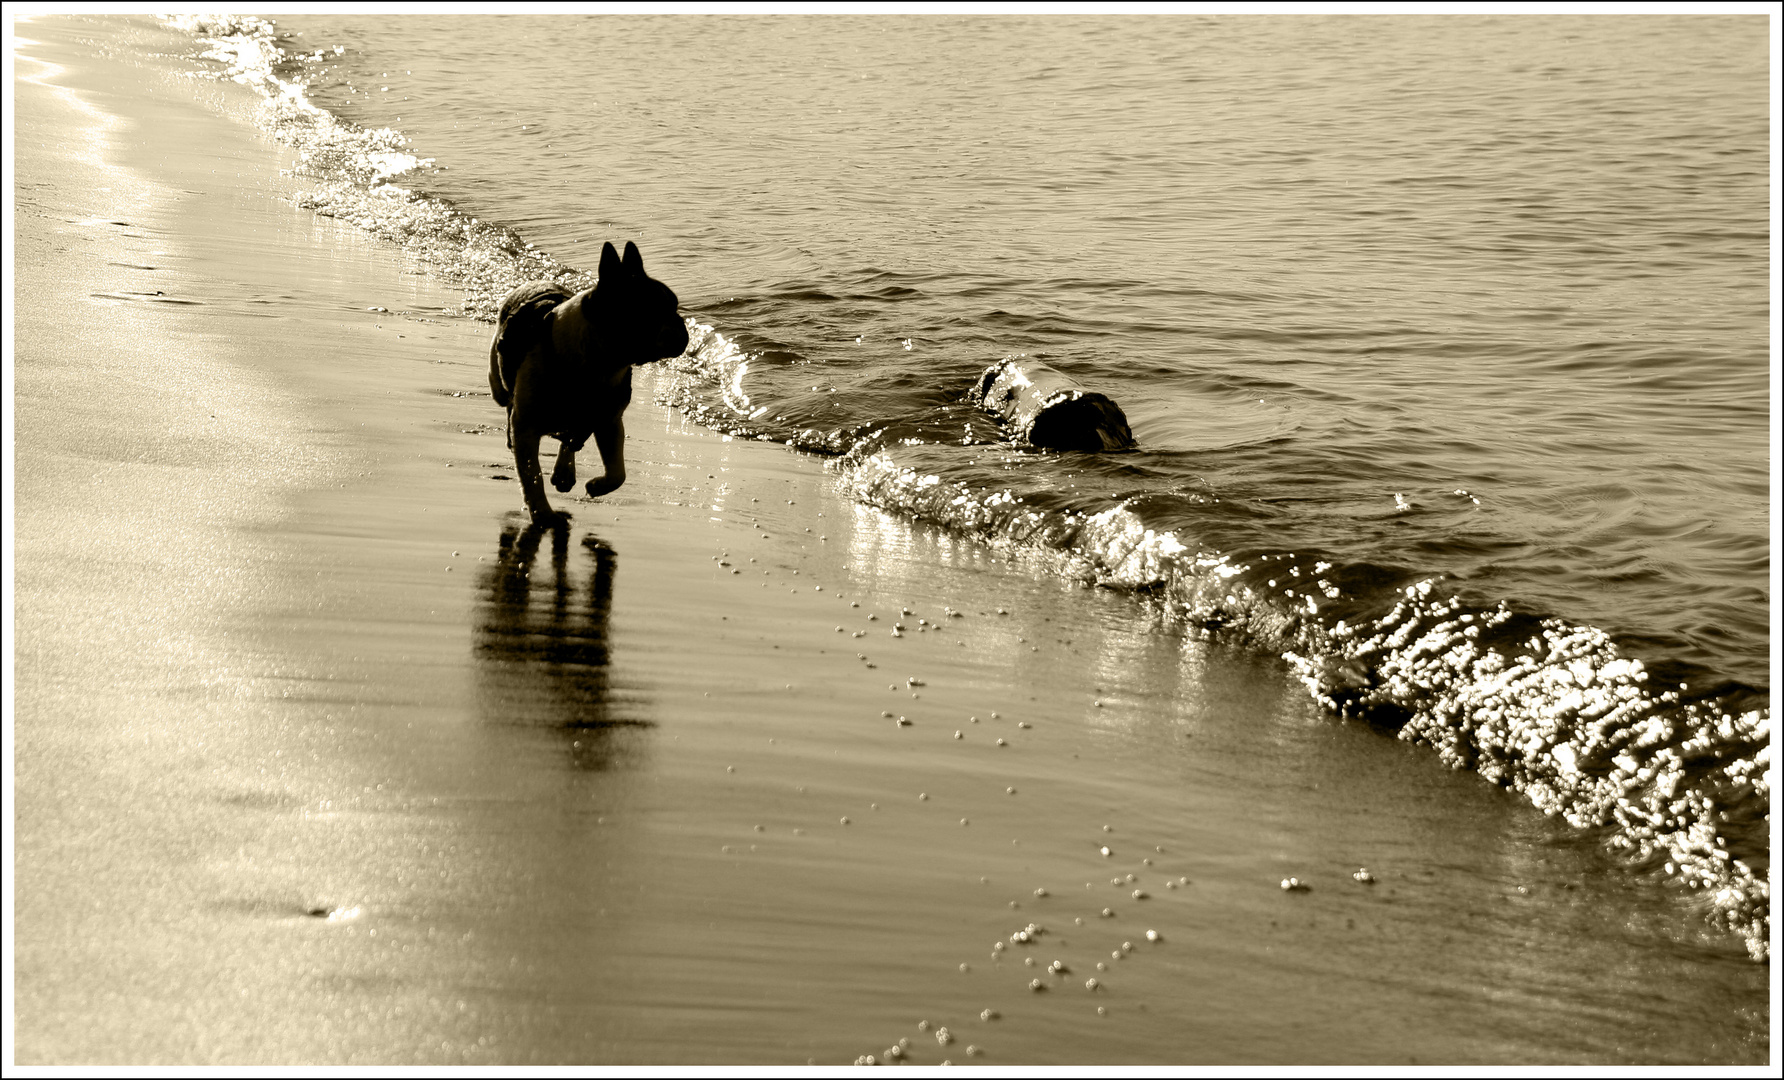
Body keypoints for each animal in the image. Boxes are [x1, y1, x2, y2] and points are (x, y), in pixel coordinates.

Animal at [485, 239, 685, 521]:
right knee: (506, 400)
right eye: (650, 312)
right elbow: (532, 476)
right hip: (498, 384)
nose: (681, 325)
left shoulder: (609, 421)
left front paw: (597, 485)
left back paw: (564, 472)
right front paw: (542, 512)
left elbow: (618, 471)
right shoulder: (526, 427)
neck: (598, 361)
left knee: (572, 439)